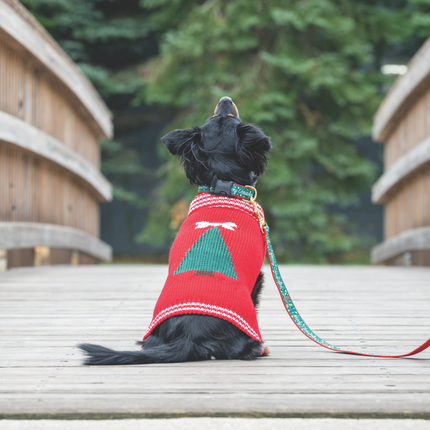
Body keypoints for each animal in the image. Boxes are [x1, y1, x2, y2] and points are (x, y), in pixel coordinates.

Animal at [79, 96, 270, 362]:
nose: (225, 99)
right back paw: (258, 347)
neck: (223, 186)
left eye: (216, 116)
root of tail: (189, 335)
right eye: (226, 117)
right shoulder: (257, 277)